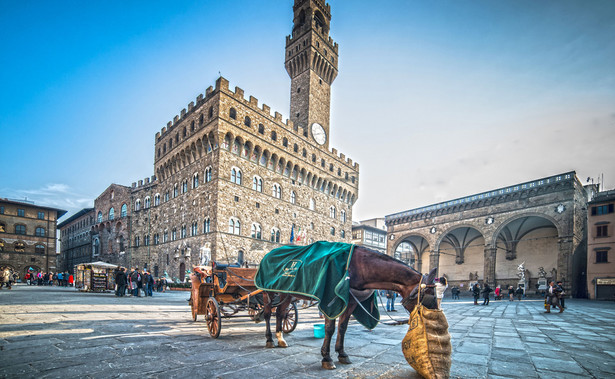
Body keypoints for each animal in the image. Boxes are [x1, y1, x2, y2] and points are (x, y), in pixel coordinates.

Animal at [260, 246, 438, 372]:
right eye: (430, 297)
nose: (433, 321)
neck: (360, 268)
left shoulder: (350, 303)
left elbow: (343, 327)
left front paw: (341, 353)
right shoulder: (330, 300)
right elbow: (330, 329)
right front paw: (327, 358)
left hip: (287, 294)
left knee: (281, 313)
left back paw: (281, 339)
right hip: (268, 292)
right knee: (268, 314)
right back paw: (269, 339)